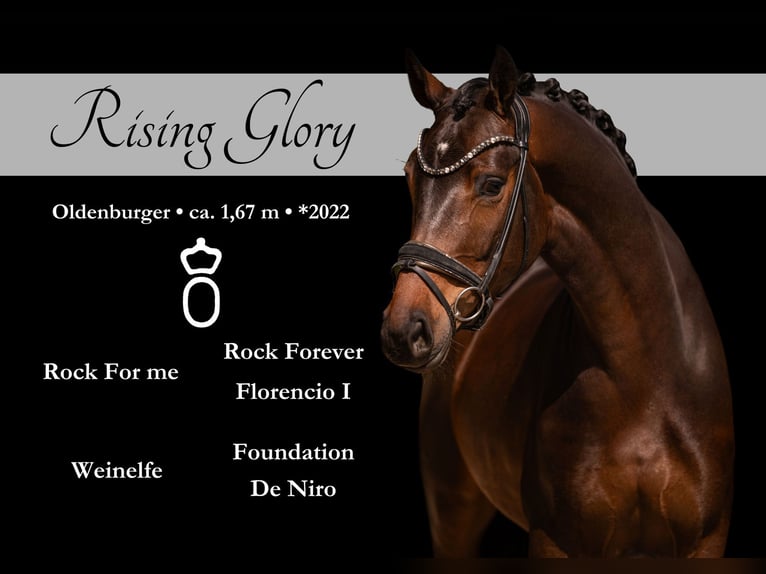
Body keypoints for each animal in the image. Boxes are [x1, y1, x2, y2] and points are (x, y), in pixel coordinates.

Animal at [380, 47, 734, 558]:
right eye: (410, 177)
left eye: (491, 184)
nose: (404, 329)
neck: (647, 377)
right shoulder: (557, 541)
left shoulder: (705, 541)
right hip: (452, 507)